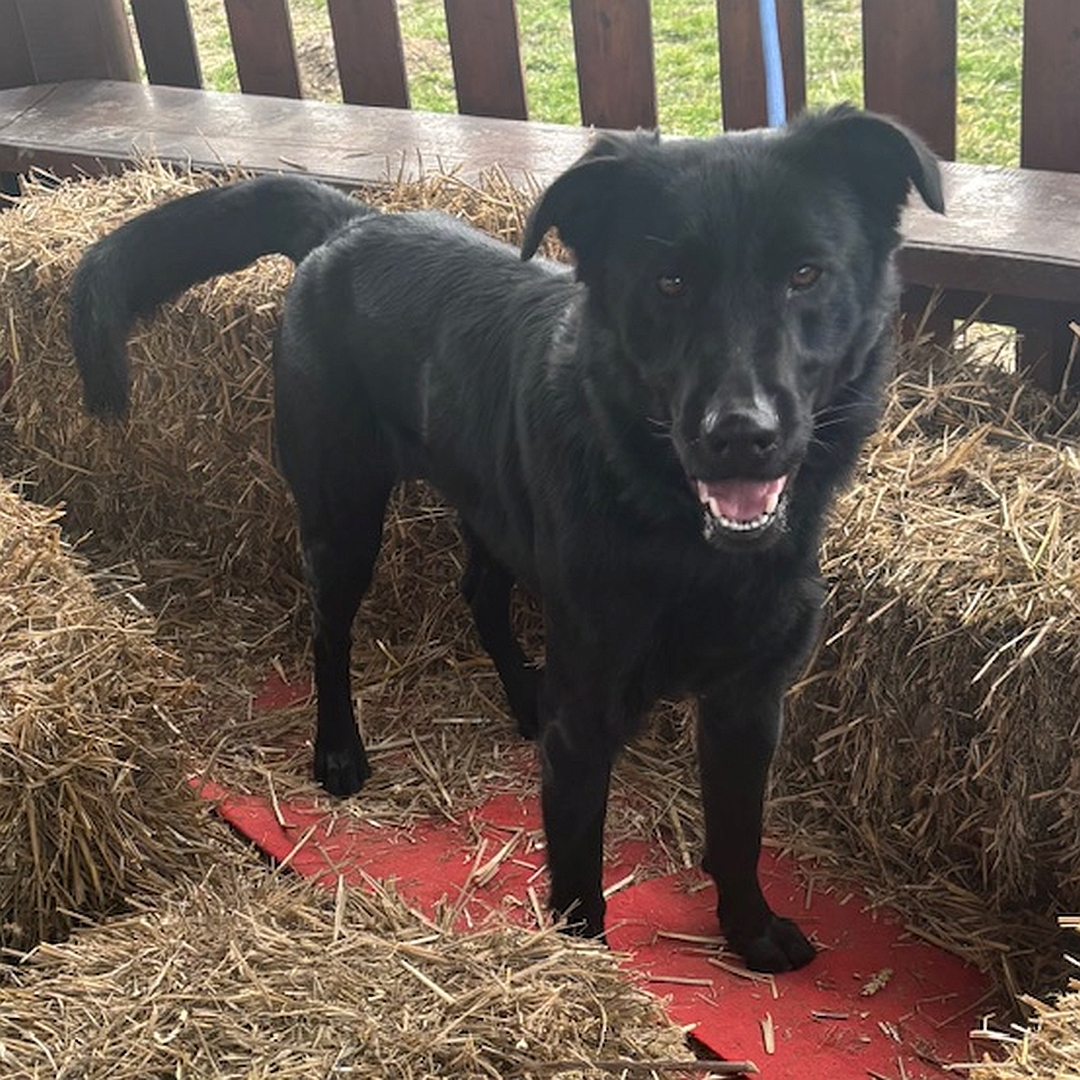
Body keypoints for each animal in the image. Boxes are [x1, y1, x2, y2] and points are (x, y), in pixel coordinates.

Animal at [71, 107, 941, 972]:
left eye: (806, 274)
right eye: (669, 283)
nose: (739, 437)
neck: (682, 537)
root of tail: (350, 225)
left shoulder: (750, 702)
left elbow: (738, 832)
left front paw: (752, 930)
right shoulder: (587, 720)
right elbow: (579, 878)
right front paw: (587, 978)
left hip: (492, 504)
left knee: (480, 594)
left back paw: (523, 695)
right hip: (343, 516)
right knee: (329, 631)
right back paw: (341, 749)